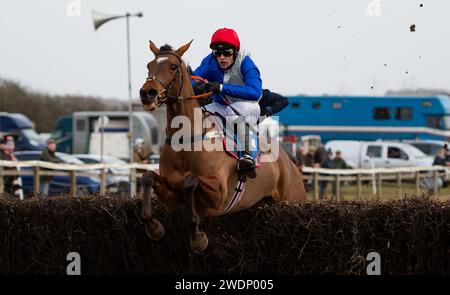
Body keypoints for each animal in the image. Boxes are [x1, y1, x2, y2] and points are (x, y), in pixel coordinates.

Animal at [138, 40, 306, 254]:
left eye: (173, 66)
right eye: (149, 65)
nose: (147, 93)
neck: (187, 139)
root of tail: (291, 164)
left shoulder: (218, 195)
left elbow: (190, 181)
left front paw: (198, 237)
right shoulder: (171, 198)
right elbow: (147, 177)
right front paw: (154, 227)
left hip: (292, 199)